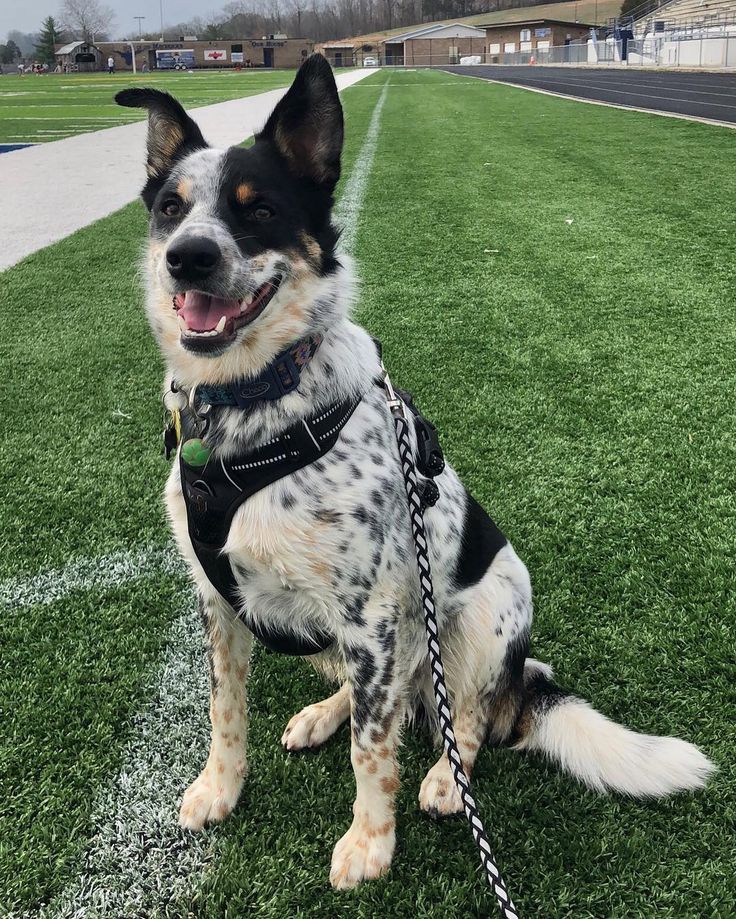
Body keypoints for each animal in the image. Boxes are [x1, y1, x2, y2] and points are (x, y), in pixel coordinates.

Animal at [119, 57, 712, 892]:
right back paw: (321, 715)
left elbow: (374, 750)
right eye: (171, 208)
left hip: (483, 613)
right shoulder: (219, 601)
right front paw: (218, 788)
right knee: (393, 698)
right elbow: (224, 710)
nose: (188, 257)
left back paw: (443, 777)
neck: (250, 406)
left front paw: (370, 841)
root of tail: (524, 673)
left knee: (462, 715)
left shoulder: (370, 610)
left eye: (258, 208)